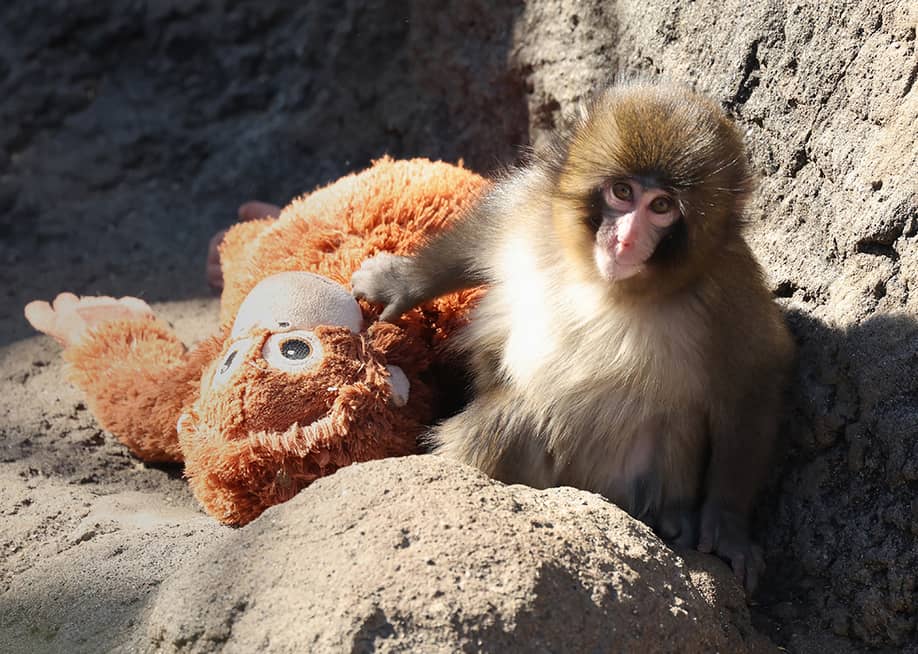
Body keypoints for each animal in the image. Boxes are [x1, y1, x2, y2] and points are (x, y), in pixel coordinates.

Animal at [350, 81, 794, 593]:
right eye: (622, 192)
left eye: (661, 206)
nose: (625, 240)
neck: (605, 283)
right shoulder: (534, 210)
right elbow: (482, 232)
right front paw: (400, 283)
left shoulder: (728, 290)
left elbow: (753, 380)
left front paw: (728, 526)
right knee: (512, 418)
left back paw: (674, 519)